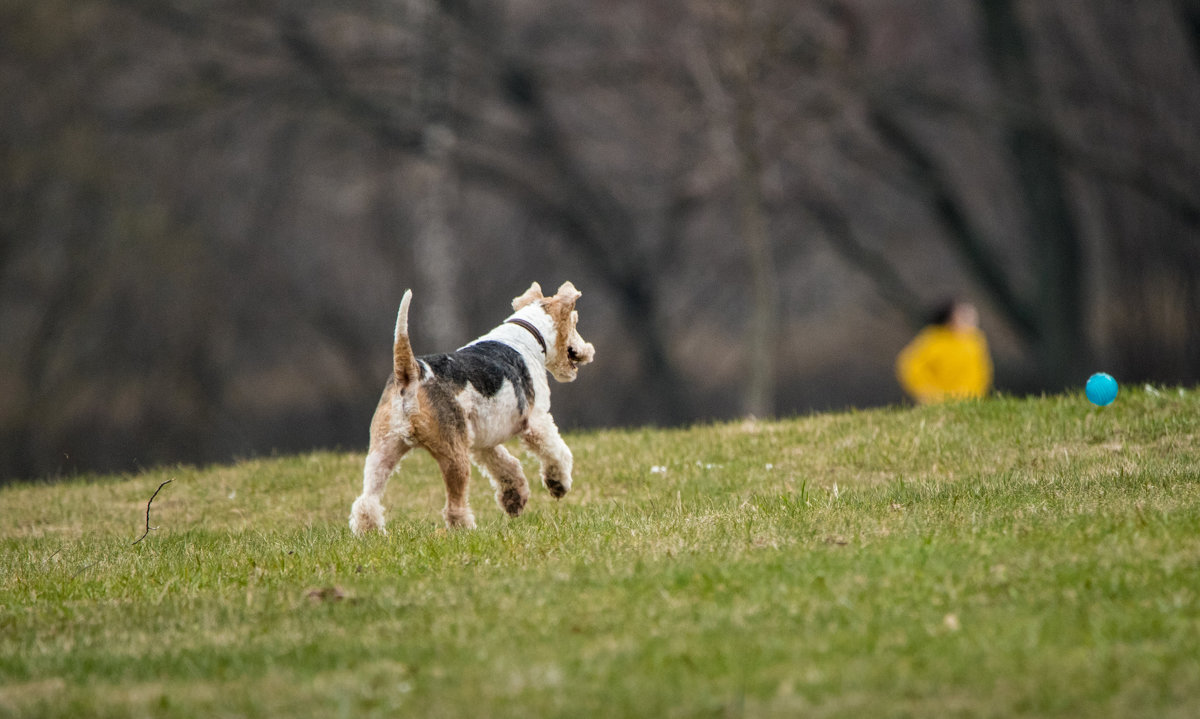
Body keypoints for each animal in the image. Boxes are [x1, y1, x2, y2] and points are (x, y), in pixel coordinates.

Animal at [350, 280, 595, 535]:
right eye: (575, 321)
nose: (587, 350)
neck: (527, 337)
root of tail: (410, 372)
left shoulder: (483, 442)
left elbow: (507, 466)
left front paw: (514, 500)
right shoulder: (536, 422)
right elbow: (557, 452)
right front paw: (558, 484)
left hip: (383, 448)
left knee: (366, 500)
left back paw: (369, 532)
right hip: (453, 454)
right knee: (454, 505)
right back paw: (466, 529)